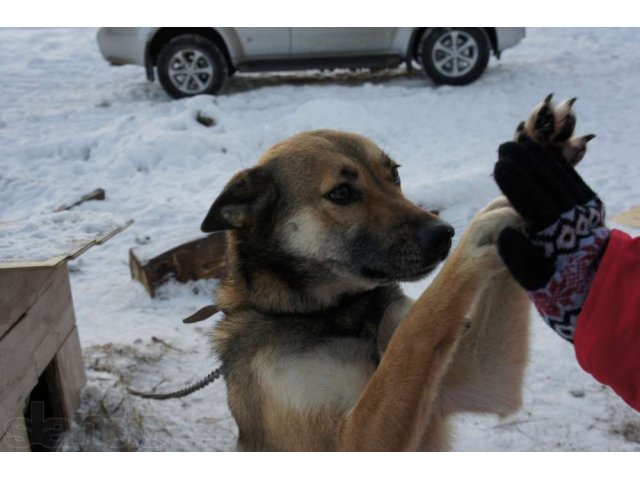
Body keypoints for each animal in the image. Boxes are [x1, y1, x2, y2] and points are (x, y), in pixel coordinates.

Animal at [201, 99, 584, 452]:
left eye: (395, 174)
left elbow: (412, 335)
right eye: (341, 193)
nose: (443, 235)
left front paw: (541, 146)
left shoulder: (478, 381)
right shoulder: (352, 441)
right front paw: (473, 241)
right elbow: (418, 327)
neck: (338, 316)